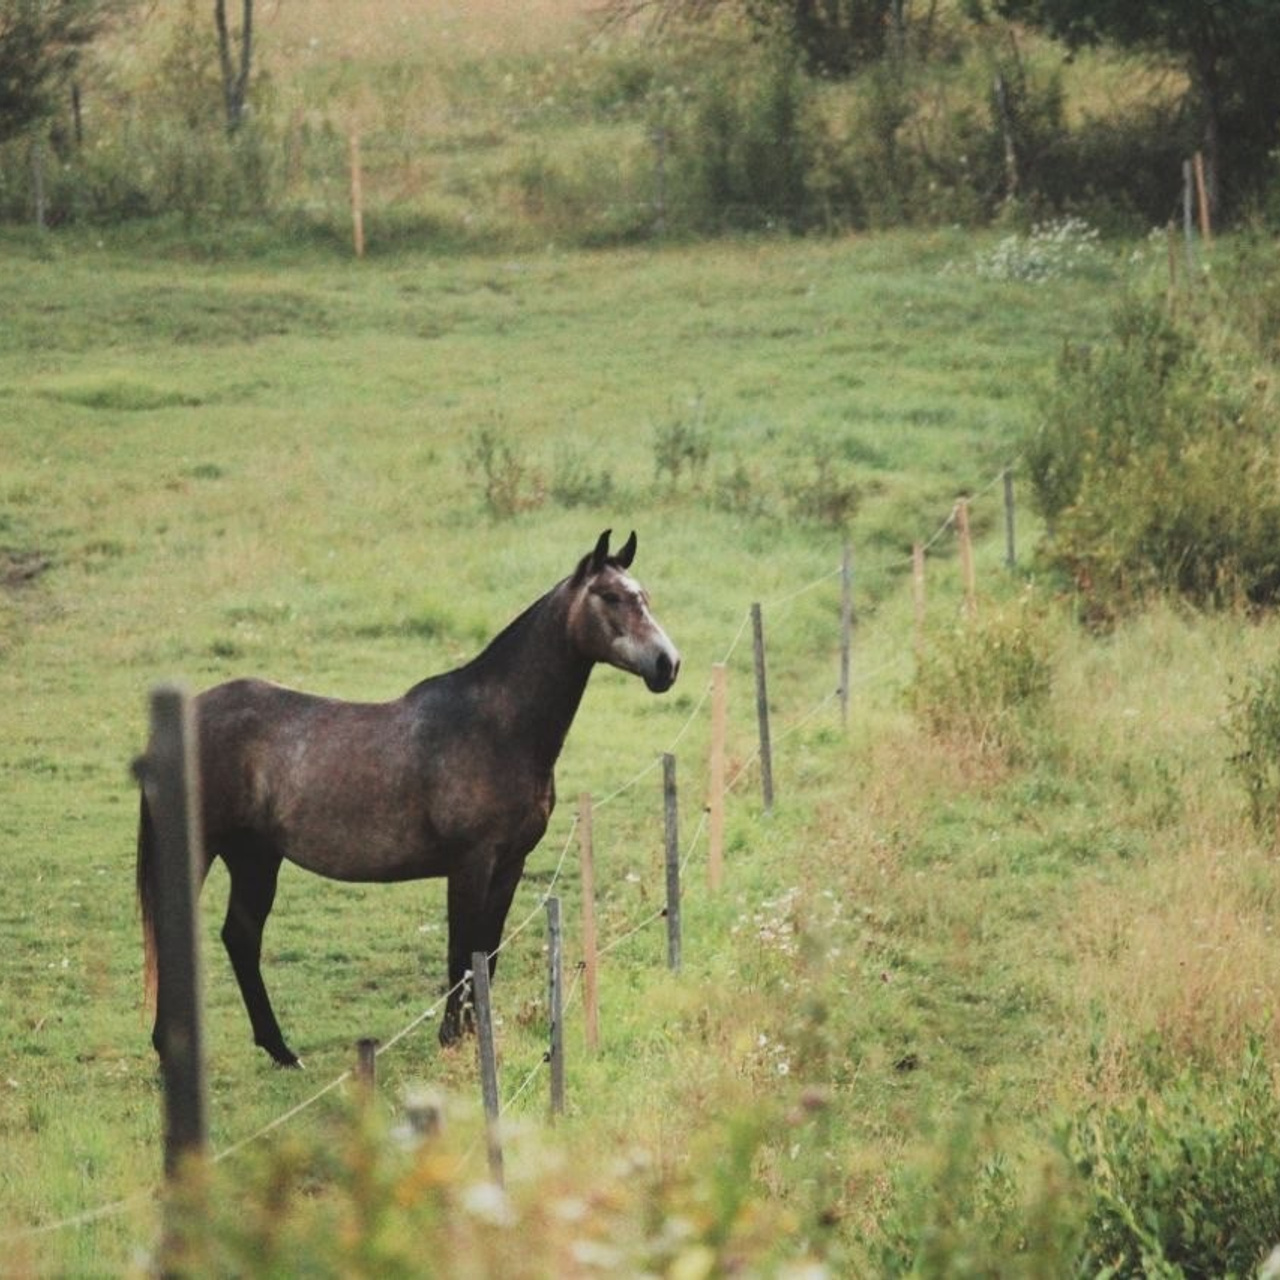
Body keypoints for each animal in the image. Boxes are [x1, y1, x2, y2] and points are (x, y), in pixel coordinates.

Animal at [136, 529, 680, 1066]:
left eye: (646, 597)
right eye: (610, 596)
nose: (668, 663)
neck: (497, 727)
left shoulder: (511, 863)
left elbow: (488, 953)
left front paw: (474, 1036)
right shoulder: (470, 864)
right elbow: (461, 954)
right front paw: (453, 1039)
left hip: (255, 858)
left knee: (241, 938)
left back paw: (281, 1050)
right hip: (206, 851)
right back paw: (169, 1048)